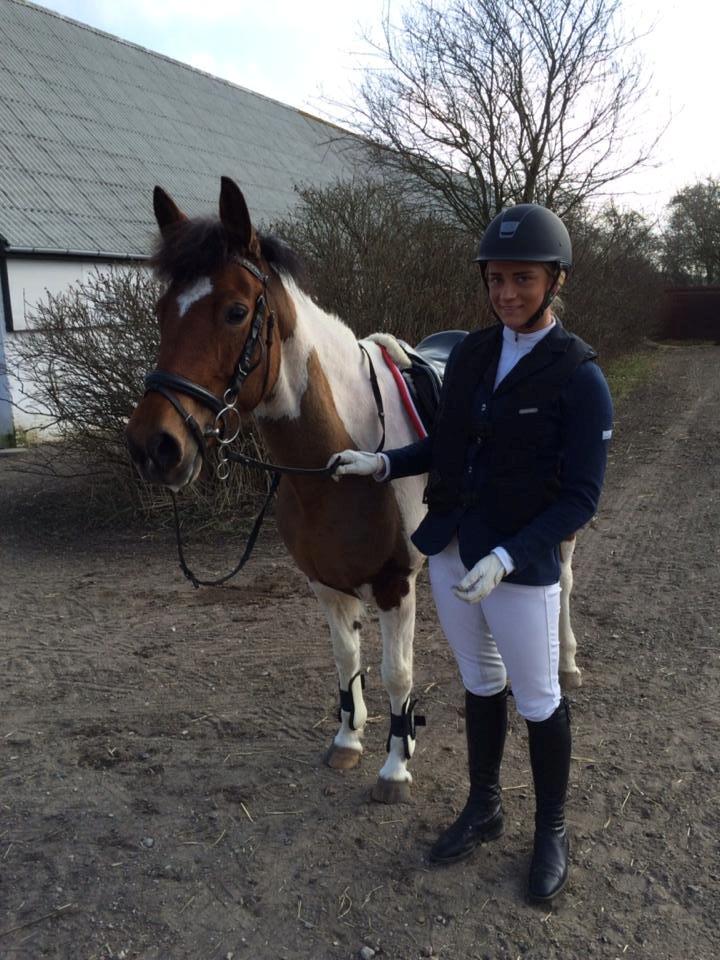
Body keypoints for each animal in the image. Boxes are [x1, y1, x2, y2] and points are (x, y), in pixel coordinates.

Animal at [126, 176, 582, 805]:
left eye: (236, 311)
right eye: (161, 311)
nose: (155, 446)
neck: (334, 466)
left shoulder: (394, 584)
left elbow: (397, 673)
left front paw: (396, 765)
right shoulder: (324, 582)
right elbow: (346, 660)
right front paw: (347, 739)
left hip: (559, 535)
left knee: (562, 583)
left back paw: (567, 665)